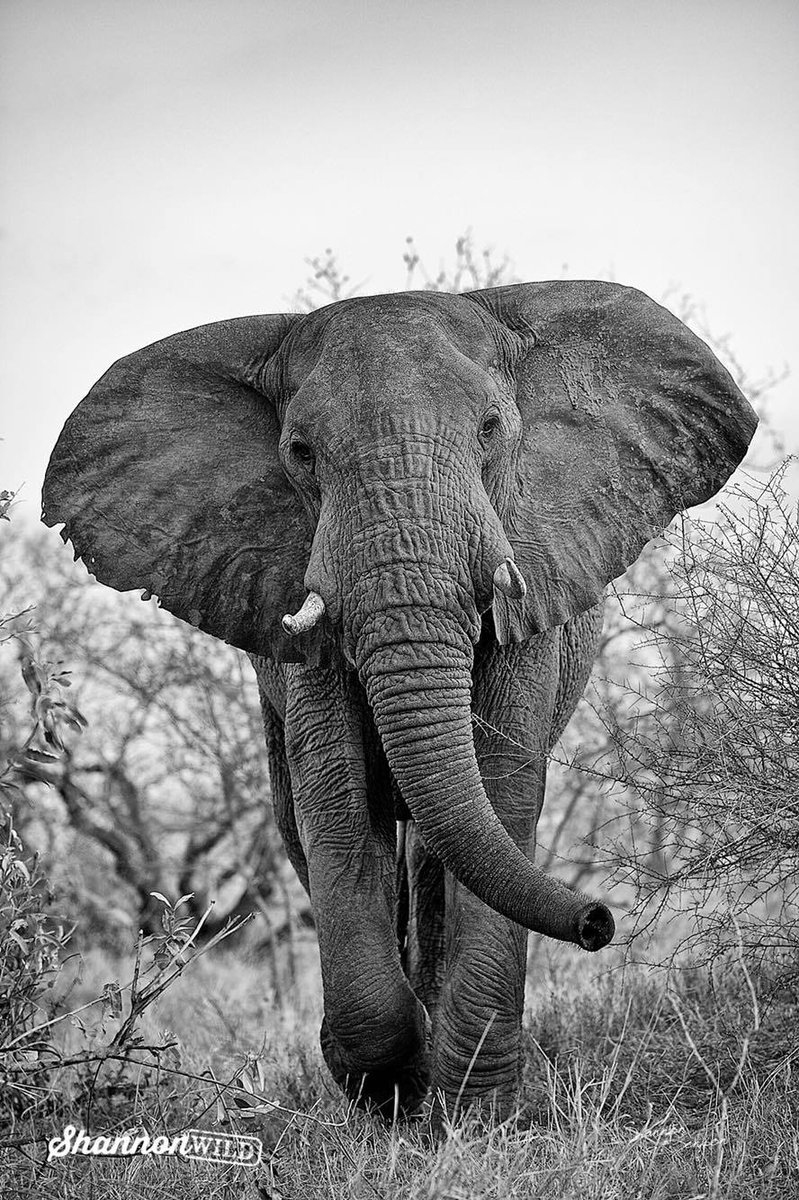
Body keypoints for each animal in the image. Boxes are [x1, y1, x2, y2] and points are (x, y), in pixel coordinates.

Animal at [42, 280, 757, 1119]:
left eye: (490, 429)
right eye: (300, 452)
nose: (597, 919)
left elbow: (501, 789)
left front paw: (472, 1112)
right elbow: (337, 801)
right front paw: (392, 1089)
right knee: (308, 828)